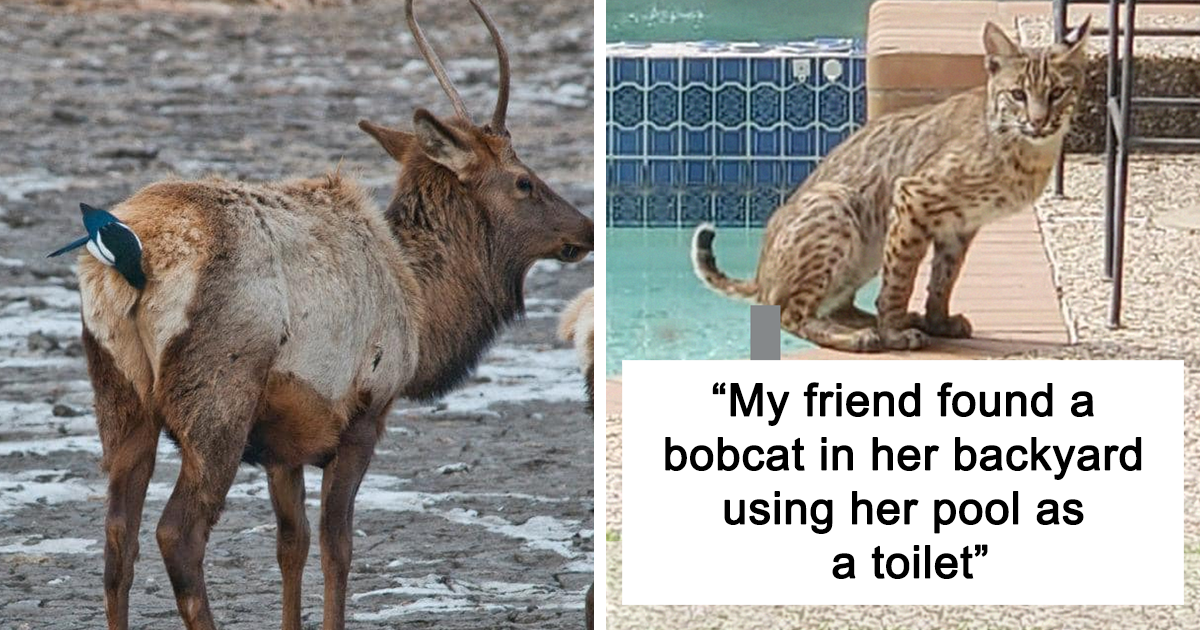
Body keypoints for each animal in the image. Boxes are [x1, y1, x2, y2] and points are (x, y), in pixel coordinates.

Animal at [75, 1, 593, 628]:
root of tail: (126, 259)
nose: (586, 229)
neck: (423, 308)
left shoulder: (283, 440)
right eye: (524, 181)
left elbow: (291, 545)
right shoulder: (364, 413)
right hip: (218, 399)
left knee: (116, 538)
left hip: (119, 395)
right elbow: (336, 546)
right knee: (177, 534)